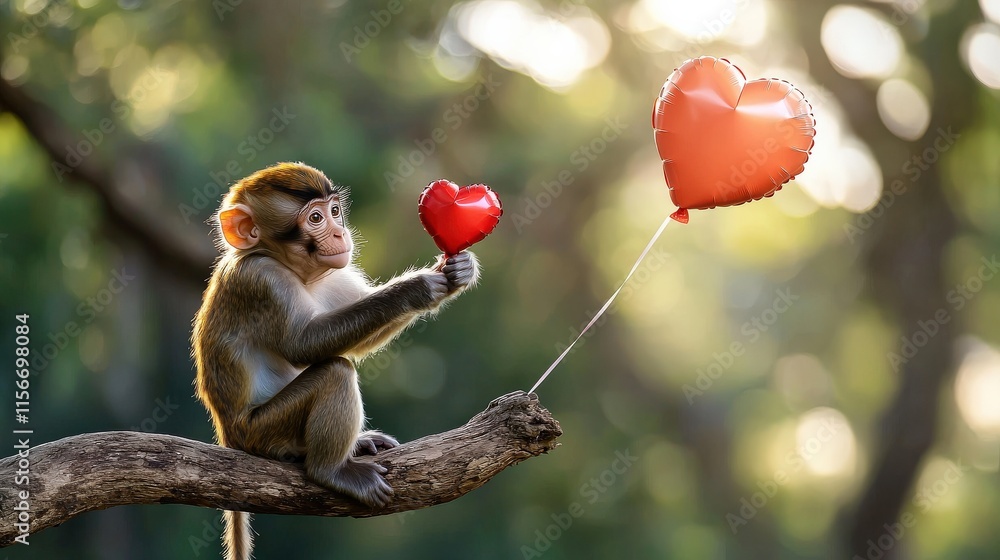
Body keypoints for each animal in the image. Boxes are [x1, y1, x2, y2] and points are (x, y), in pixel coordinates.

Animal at [192, 162, 478, 560]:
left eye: (335, 211)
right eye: (315, 218)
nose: (340, 233)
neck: (293, 268)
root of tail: (228, 436)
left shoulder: (335, 273)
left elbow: (358, 340)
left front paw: (459, 271)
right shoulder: (263, 279)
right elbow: (304, 345)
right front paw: (417, 287)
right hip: (262, 432)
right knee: (335, 372)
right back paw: (329, 471)